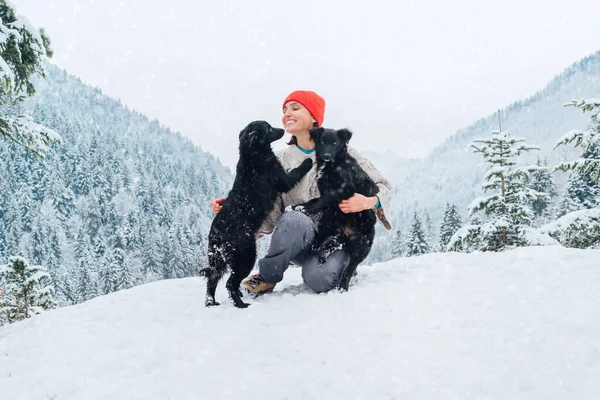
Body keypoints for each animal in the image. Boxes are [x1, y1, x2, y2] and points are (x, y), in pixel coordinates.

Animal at [202, 120, 314, 308]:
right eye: (269, 128)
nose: (283, 129)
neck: (253, 156)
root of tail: (217, 234)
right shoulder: (282, 179)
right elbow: (296, 172)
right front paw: (308, 161)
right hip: (245, 256)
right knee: (230, 283)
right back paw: (240, 304)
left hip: (217, 260)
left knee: (212, 279)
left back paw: (211, 302)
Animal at [298, 127, 378, 290]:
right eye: (322, 142)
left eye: (335, 143)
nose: (327, 156)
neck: (333, 164)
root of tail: (345, 235)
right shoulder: (323, 188)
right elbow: (315, 199)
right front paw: (301, 206)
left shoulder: (345, 188)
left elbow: (324, 198)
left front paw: (307, 210)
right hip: (328, 222)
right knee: (324, 243)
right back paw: (319, 249)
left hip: (362, 244)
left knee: (351, 266)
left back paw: (343, 285)